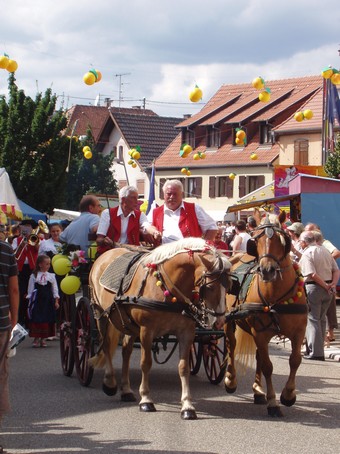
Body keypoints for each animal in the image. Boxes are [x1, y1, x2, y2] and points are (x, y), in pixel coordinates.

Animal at [87, 236, 231, 420]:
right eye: (210, 287)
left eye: (230, 286)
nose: (219, 321)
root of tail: (107, 253)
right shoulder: (146, 331)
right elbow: (146, 363)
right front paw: (146, 399)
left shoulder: (186, 332)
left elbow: (183, 367)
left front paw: (187, 405)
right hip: (101, 315)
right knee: (106, 346)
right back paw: (110, 383)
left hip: (128, 324)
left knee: (126, 351)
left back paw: (126, 390)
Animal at [226, 211, 308, 416]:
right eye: (255, 240)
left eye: (282, 239)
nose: (267, 270)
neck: (276, 298)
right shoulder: (260, 334)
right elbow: (268, 366)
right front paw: (273, 402)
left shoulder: (299, 332)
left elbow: (295, 360)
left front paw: (288, 395)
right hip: (228, 321)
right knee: (231, 345)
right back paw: (230, 380)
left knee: (258, 356)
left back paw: (257, 391)